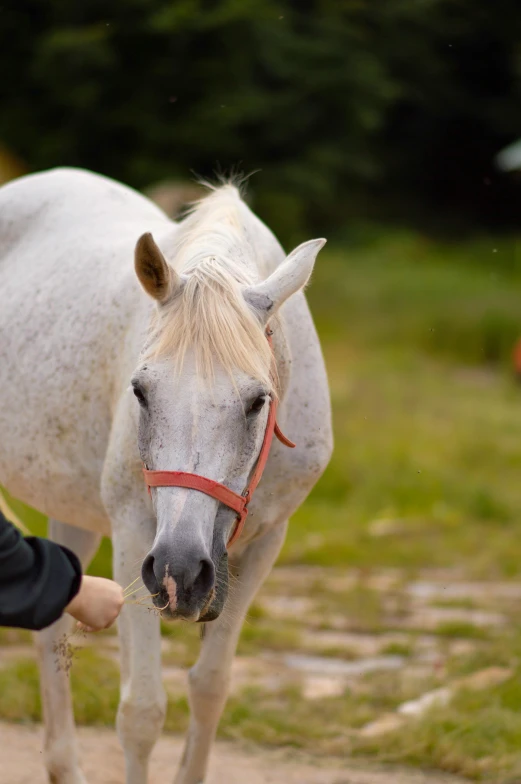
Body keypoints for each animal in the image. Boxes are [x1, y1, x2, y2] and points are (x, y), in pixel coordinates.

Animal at [0, 168, 334, 780]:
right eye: (140, 391)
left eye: (259, 400)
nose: (181, 571)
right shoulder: (136, 535)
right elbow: (142, 712)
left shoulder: (263, 544)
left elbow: (210, 687)